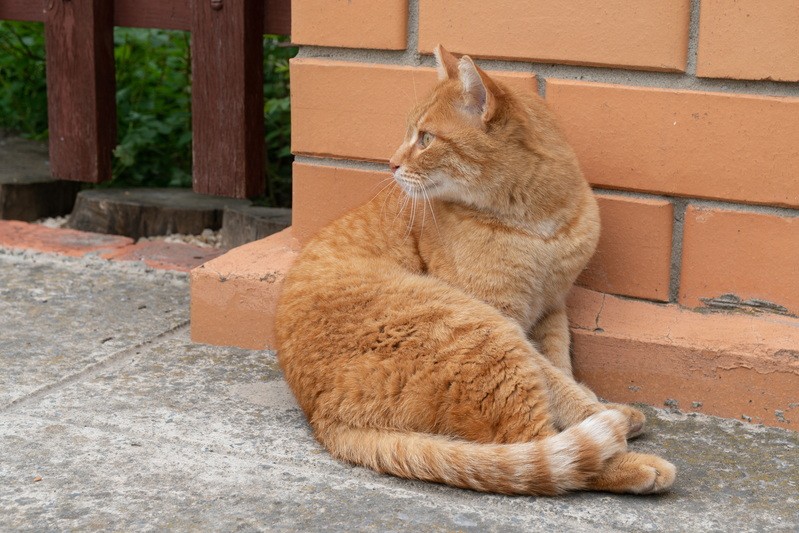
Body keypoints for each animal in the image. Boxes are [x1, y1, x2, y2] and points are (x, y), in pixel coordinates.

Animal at [276, 45, 676, 494]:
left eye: (426, 138)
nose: (391, 164)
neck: (535, 226)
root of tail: (321, 415)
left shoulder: (551, 310)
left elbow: (560, 366)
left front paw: (592, 400)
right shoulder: (505, 314)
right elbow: (555, 381)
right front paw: (597, 411)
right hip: (478, 329)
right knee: (538, 451)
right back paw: (634, 460)